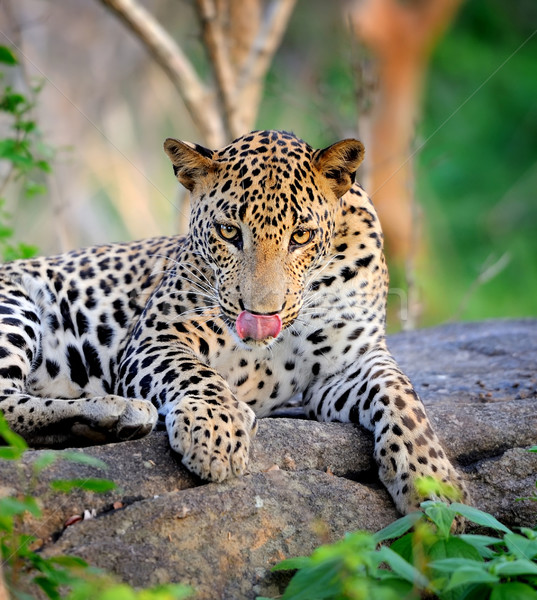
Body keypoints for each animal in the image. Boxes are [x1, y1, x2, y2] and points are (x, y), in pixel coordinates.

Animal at [0, 129, 466, 512]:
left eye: (301, 236)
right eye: (228, 232)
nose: (261, 315)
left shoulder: (350, 363)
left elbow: (402, 395)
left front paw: (433, 481)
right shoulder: (155, 339)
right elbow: (195, 373)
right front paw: (215, 433)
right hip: (15, 303)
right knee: (8, 404)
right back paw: (117, 412)